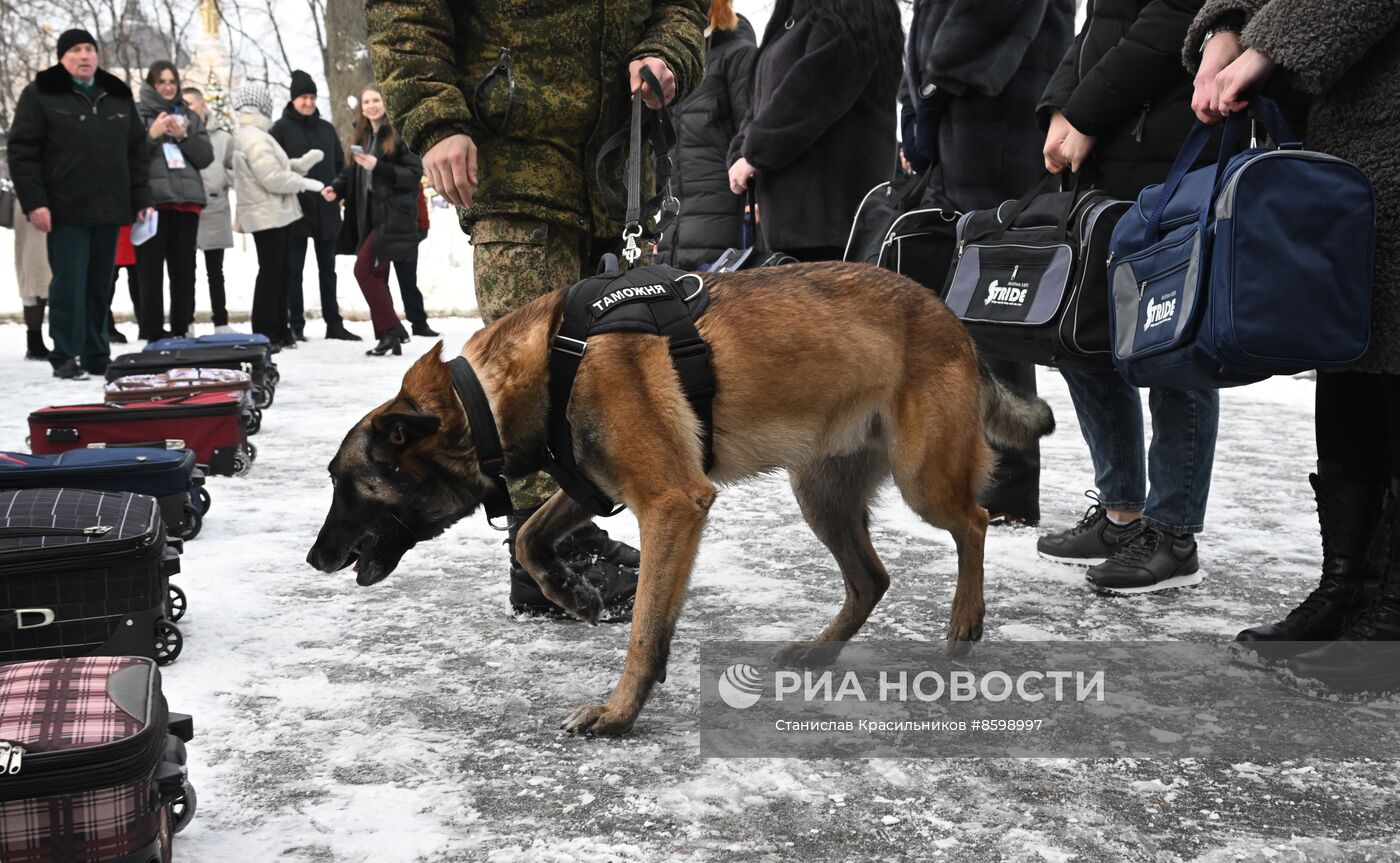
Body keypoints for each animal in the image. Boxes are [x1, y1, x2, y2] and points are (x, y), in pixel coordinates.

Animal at [306, 260, 1052, 734]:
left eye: (345, 483)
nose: (313, 560)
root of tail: (951, 317)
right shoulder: (594, 485)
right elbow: (531, 535)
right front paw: (574, 593)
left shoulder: (671, 503)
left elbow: (645, 626)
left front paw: (618, 712)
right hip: (820, 493)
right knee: (872, 577)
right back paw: (820, 650)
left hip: (923, 478)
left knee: (975, 521)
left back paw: (965, 621)